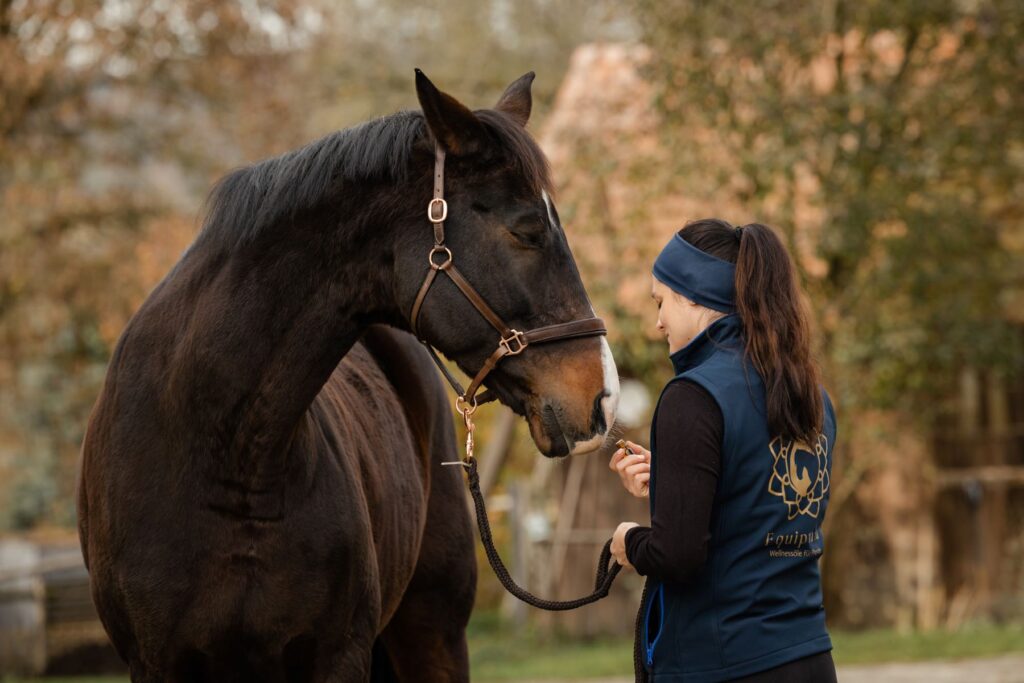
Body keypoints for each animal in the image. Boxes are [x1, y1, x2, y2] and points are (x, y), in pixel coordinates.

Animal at [75, 70, 618, 683]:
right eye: (527, 230)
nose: (602, 397)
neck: (224, 457)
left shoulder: (339, 655)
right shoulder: (156, 662)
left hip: (434, 634)